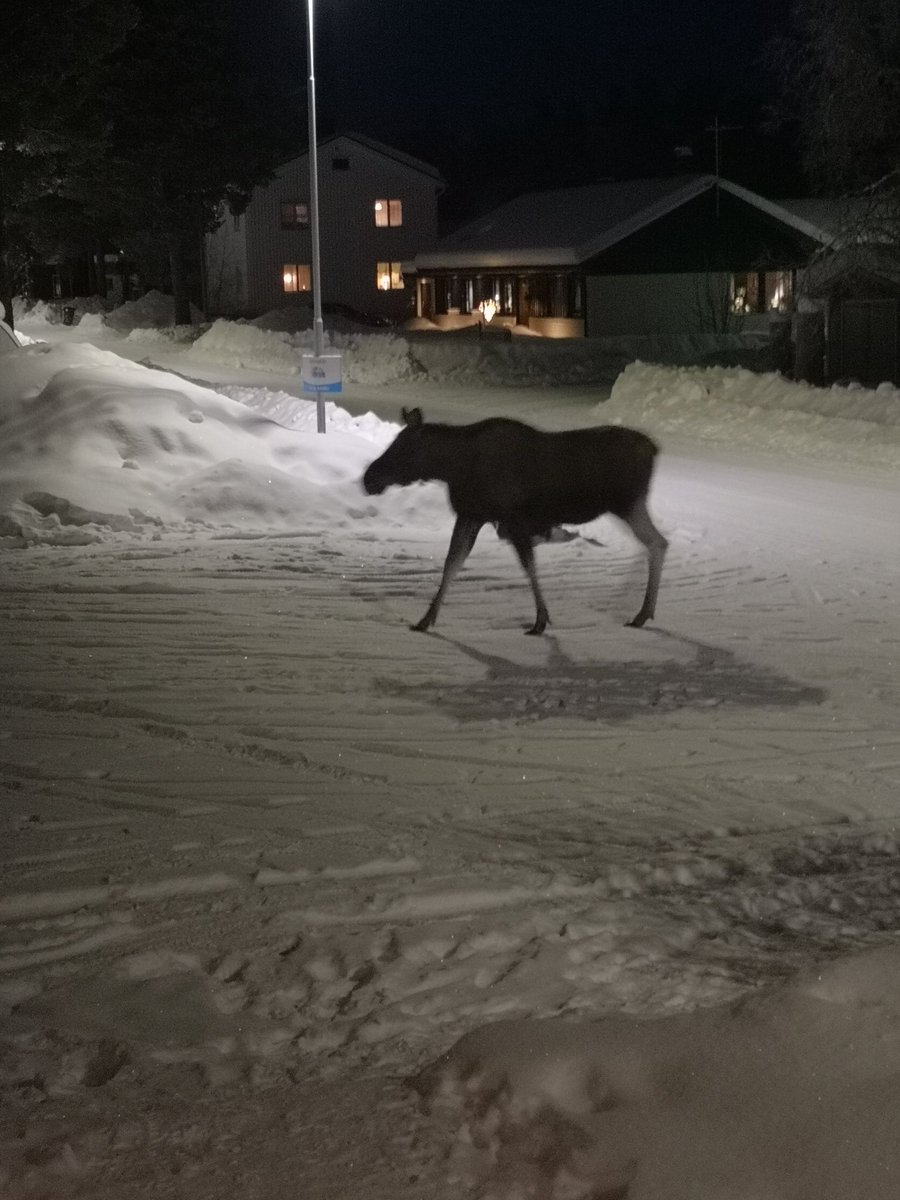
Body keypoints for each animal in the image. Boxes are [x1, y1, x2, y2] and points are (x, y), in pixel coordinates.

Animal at [362, 407, 667, 635]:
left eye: (402, 447)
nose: (368, 478)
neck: (453, 467)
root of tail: (654, 449)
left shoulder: (513, 519)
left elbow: (528, 565)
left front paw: (541, 620)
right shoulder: (473, 515)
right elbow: (451, 564)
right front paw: (425, 619)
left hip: (628, 504)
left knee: (658, 543)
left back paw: (642, 612)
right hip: (625, 507)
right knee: (656, 543)